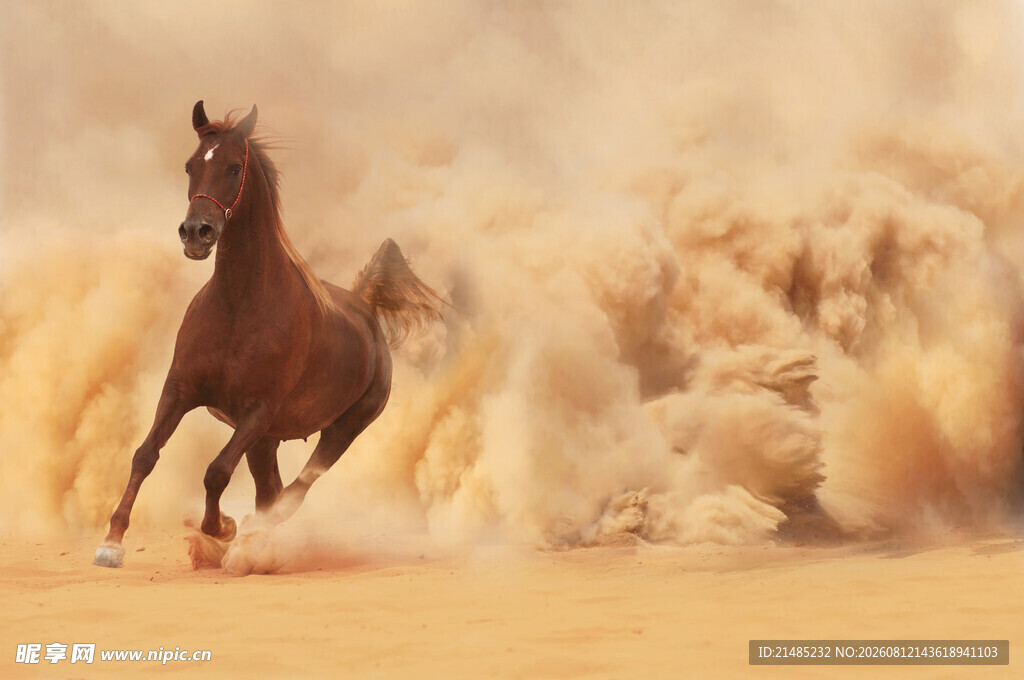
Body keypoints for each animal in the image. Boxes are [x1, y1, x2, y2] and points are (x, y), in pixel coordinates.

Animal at [93, 101, 444, 568]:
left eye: (233, 167)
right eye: (190, 165)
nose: (196, 233)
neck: (239, 306)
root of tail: (365, 307)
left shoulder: (257, 411)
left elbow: (216, 471)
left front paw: (224, 528)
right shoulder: (180, 390)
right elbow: (145, 455)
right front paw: (111, 543)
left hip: (341, 429)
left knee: (293, 492)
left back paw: (251, 540)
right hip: (268, 441)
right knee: (271, 490)